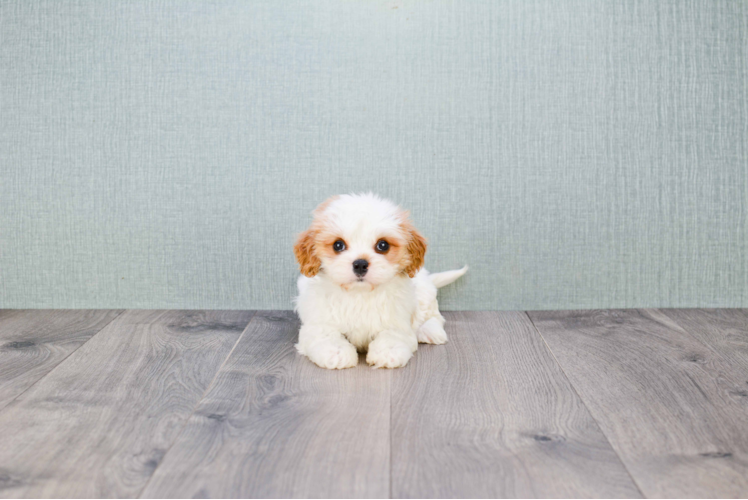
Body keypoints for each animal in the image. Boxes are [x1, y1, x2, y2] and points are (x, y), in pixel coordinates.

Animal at [294, 193, 464, 370]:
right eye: (338, 245)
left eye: (383, 245)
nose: (360, 264)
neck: (359, 294)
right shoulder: (319, 321)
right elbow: (326, 335)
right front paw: (337, 353)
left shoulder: (397, 320)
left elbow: (392, 335)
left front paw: (388, 352)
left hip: (424, 293)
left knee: (434, 317)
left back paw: (430, 331)